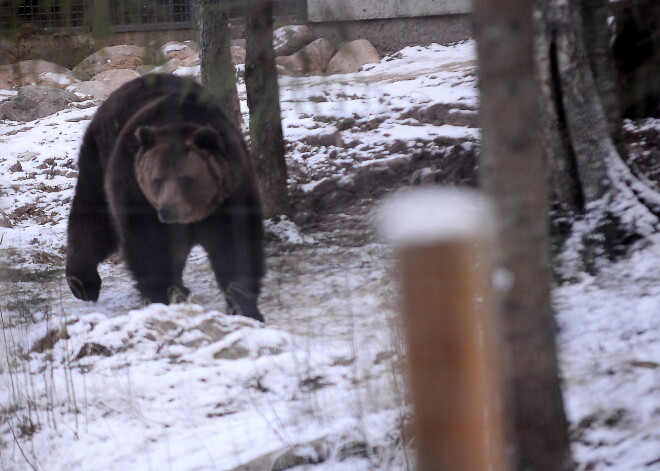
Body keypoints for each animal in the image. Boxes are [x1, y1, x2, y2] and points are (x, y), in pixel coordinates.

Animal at [65, 74, 264, 320]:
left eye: (186, 179)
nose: (167, 210)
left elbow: (236, 248)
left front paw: (245, 307)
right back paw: (83, 283)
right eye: (157, 180)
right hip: (100, 159)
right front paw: (164, 296)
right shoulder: (137, 194)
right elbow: (150, 249)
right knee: (93, 217)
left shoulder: (230, 195)